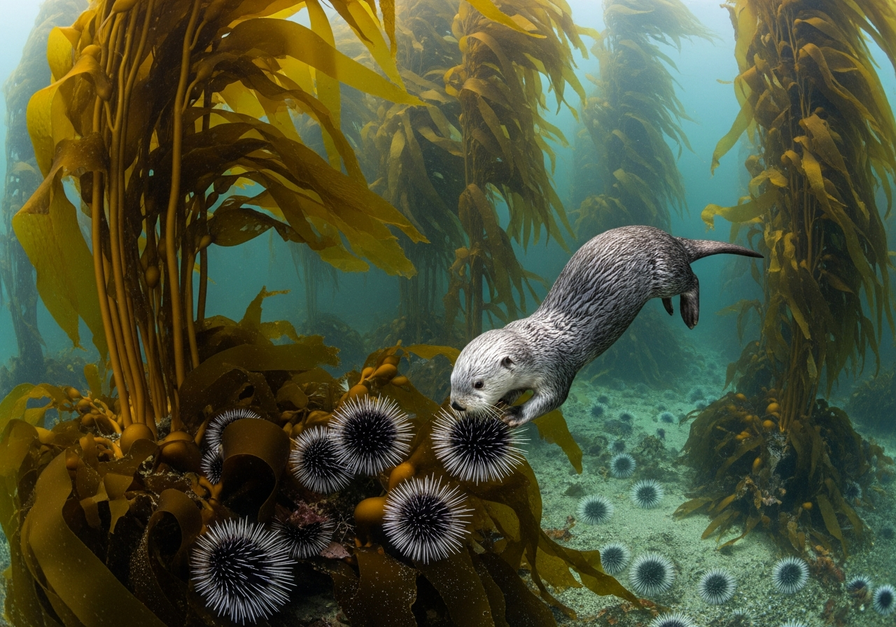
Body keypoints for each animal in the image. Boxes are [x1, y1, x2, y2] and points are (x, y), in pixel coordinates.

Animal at [449, 225, 761, 426]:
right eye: (452, 379)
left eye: (478, 383)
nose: (456, 405)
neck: (538, 346)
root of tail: (671, 237)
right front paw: (504, 400)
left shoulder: (558, 370)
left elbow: (552, 399)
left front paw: (514, 414)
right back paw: (671, 308)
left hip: (667, 272)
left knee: (693, 279)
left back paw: (690, 314)